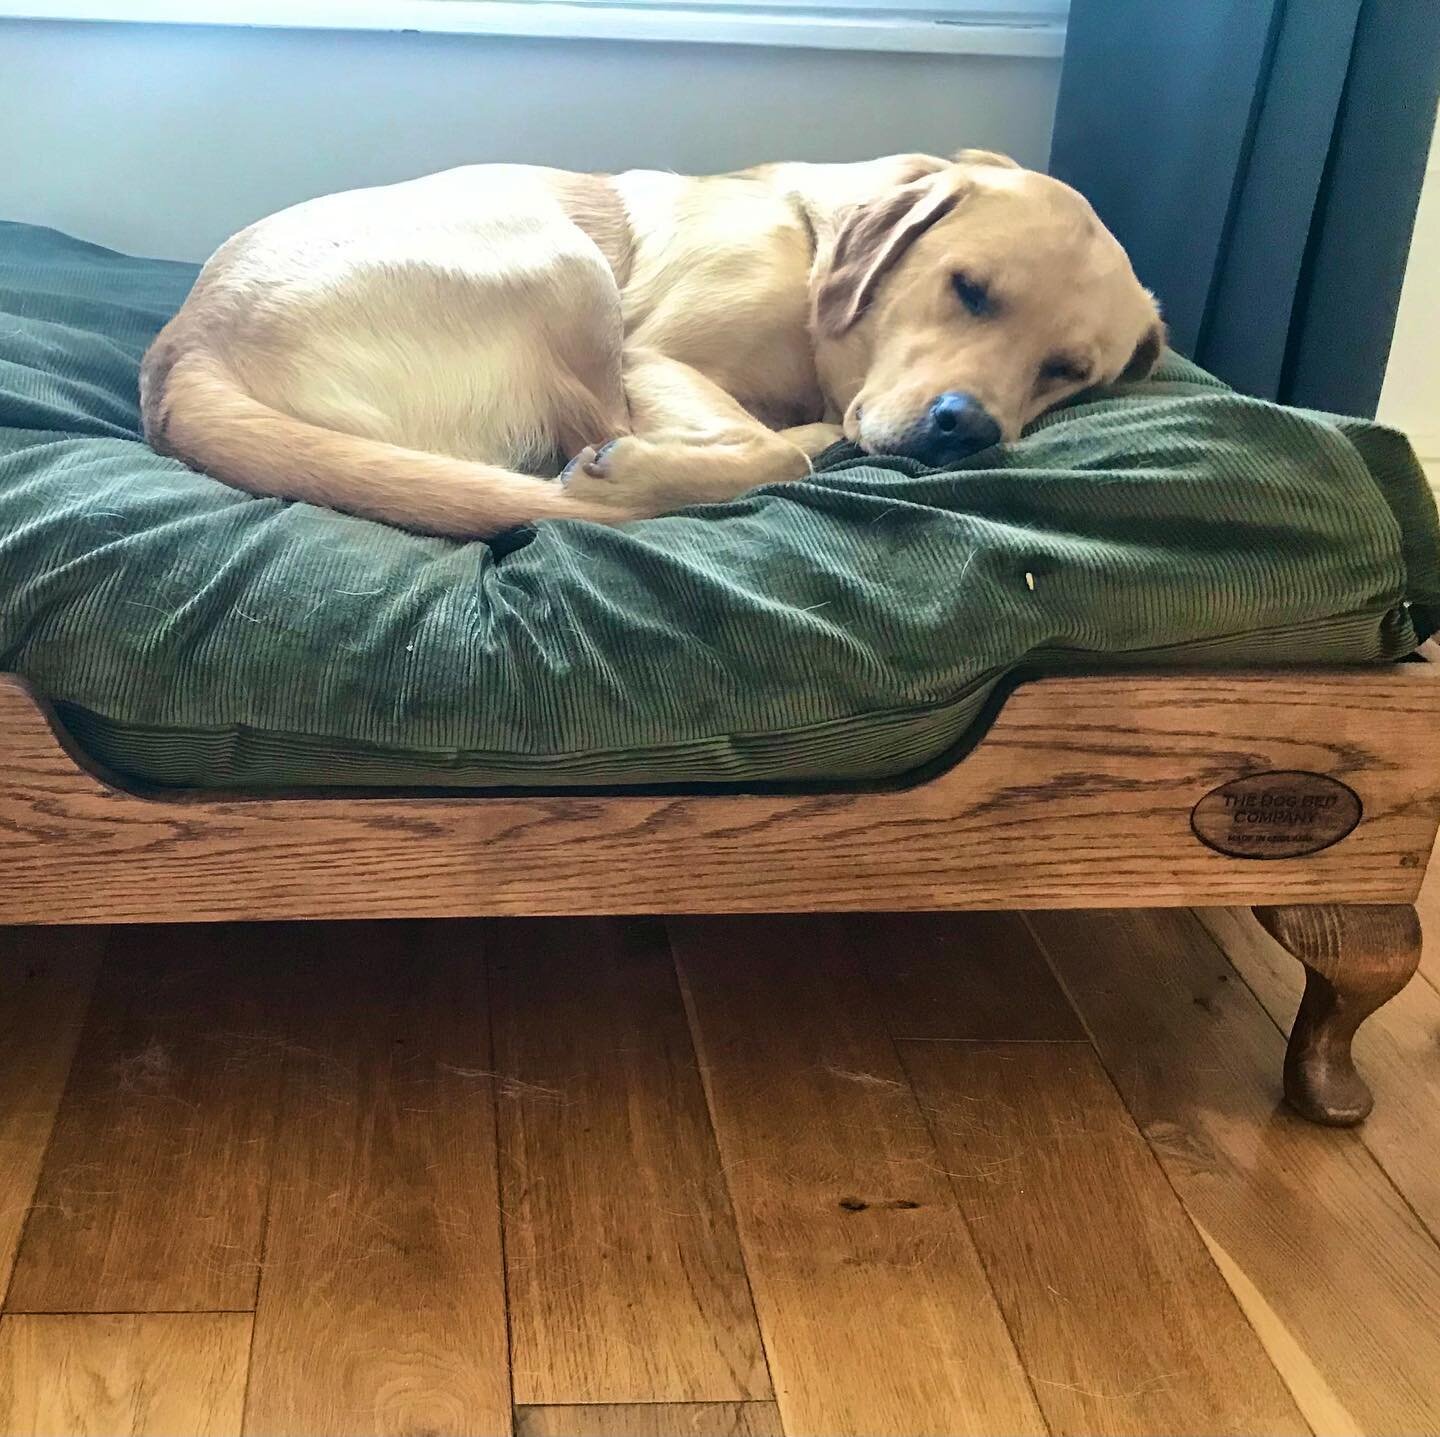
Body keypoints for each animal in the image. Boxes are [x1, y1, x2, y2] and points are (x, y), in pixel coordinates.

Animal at [143, 150, 1157, 541]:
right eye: (968, 289)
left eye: (1068, 372)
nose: (968, 428)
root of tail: (185, 350)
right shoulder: (654, 356)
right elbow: (758, 445)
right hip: (567, 265)